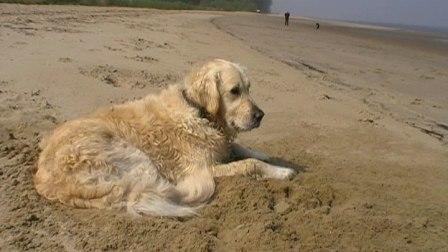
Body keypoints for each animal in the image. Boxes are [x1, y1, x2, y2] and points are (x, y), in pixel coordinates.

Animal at [34, 59, 294, 217]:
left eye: (249, 88)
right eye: (234, 91)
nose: (260, 115)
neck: (199, 111)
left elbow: (240, 148)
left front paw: (266, 155)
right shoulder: (201, 168)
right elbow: (250, 164)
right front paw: (283, 171)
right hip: (133, 156)